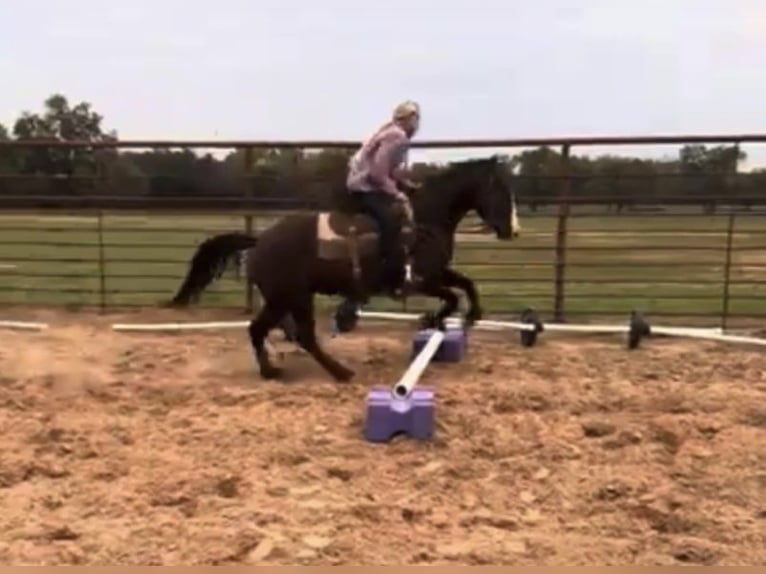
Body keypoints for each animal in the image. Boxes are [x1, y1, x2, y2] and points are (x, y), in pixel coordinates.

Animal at [170, 155, 520, 384]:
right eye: (502, 190)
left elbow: (467, 284)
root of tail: (259, 241)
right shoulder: (420, 281)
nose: (512, 231)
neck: (424, 221)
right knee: (287, 334)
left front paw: (468, 316)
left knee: (276, 332)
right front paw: (433, 318)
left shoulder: (437, 273)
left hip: (288, 299)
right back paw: (328, 372)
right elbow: (452, 296)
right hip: (291, 297)